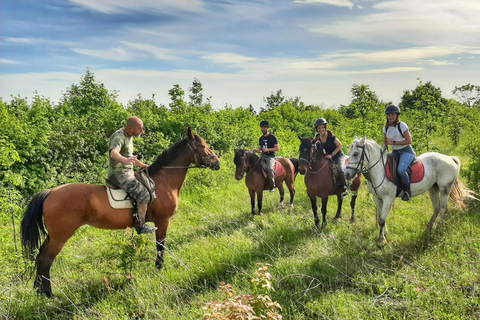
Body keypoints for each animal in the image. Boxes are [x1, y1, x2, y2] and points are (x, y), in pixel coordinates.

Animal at [20, 127, 219, 298]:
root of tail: (50, 192)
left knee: (39, 257)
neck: (162, 182)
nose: (217, 162)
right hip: (60, 236)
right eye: (203, 146)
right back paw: (49, 294)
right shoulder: (162, 221)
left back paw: (39, 291)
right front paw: (159, 269)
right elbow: (160, 246)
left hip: (52, 236)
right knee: (46, 260)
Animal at [344, 138, 472, 245]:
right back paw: (429, 228)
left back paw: (438, 230)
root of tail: (450, 158)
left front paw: (381, 240)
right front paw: (385, 232)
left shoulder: (388, 199)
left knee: (443, 208)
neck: (380, 171)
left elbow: (381, 220)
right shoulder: (377, 198)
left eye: (356, 154)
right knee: (436, 208)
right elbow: (381, 217)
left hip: (445, 189)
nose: (347, 174)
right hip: (433, 188)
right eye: (349, 153)